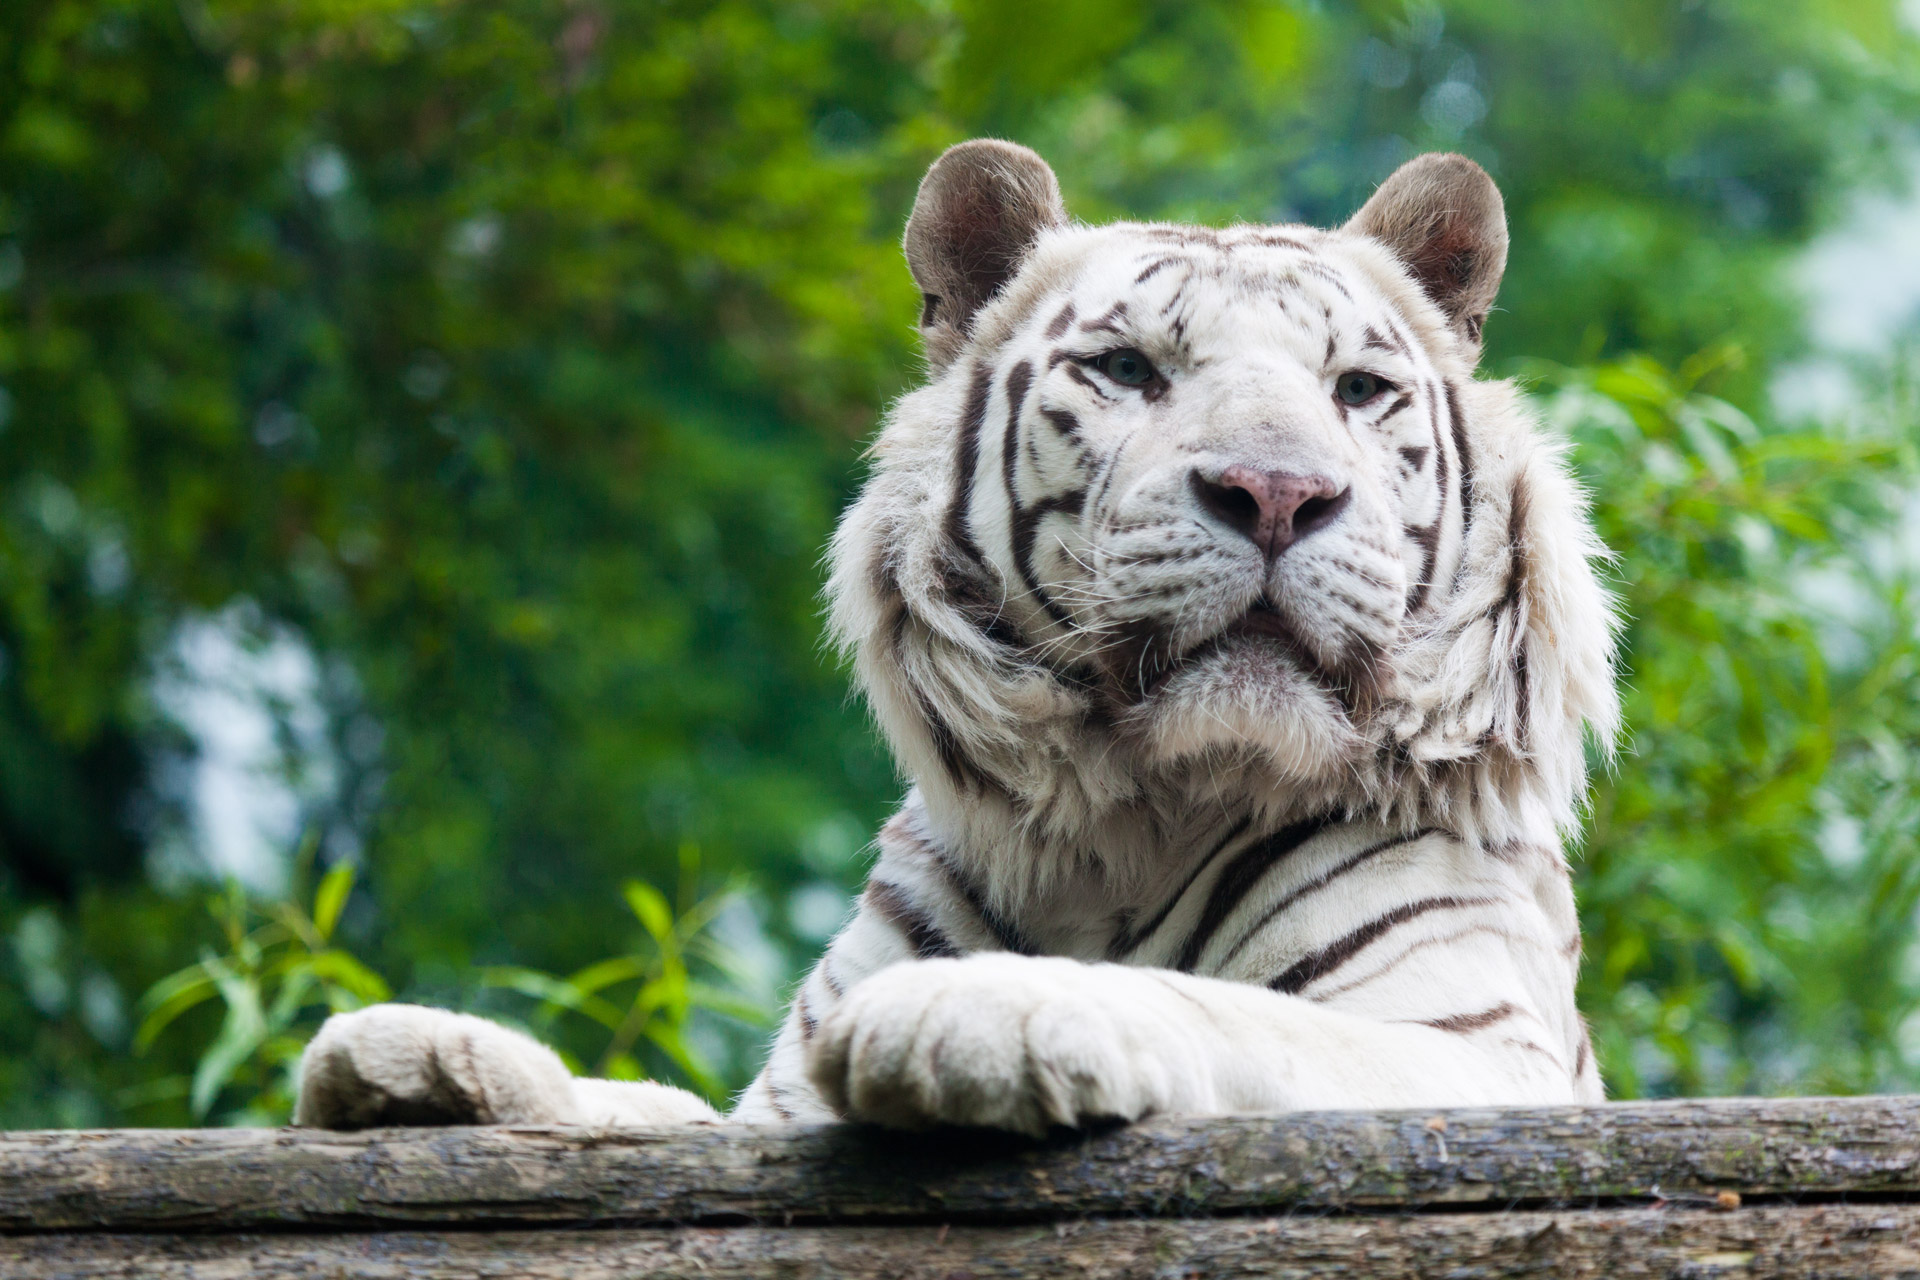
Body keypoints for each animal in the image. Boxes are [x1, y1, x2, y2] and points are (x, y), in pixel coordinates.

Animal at [293, 139, 1620, 1137]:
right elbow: (653, 1103)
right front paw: (418, 1054)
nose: (1277, 492)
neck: (1129, 826)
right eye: (1126, 368)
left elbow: (1227, 1011)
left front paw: (974, 1010)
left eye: (1356, 389)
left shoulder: (1470, 1050)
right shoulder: (768, 1112)